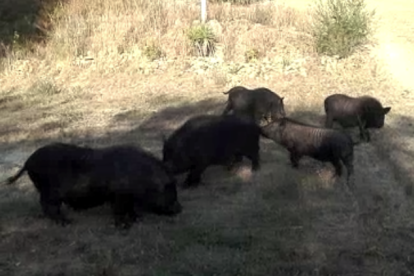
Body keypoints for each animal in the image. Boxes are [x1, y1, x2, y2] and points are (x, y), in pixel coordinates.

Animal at [3, 143, 181, 227]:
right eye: (169, 189)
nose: (180, 209)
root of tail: (28, 161)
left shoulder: (126, 198)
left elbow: (131, 209)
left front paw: (138, 219)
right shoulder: (118, 196)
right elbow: (119, 211)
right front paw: (124, 227)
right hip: (49, 192)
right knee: (47, 206)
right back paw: (67, 223)